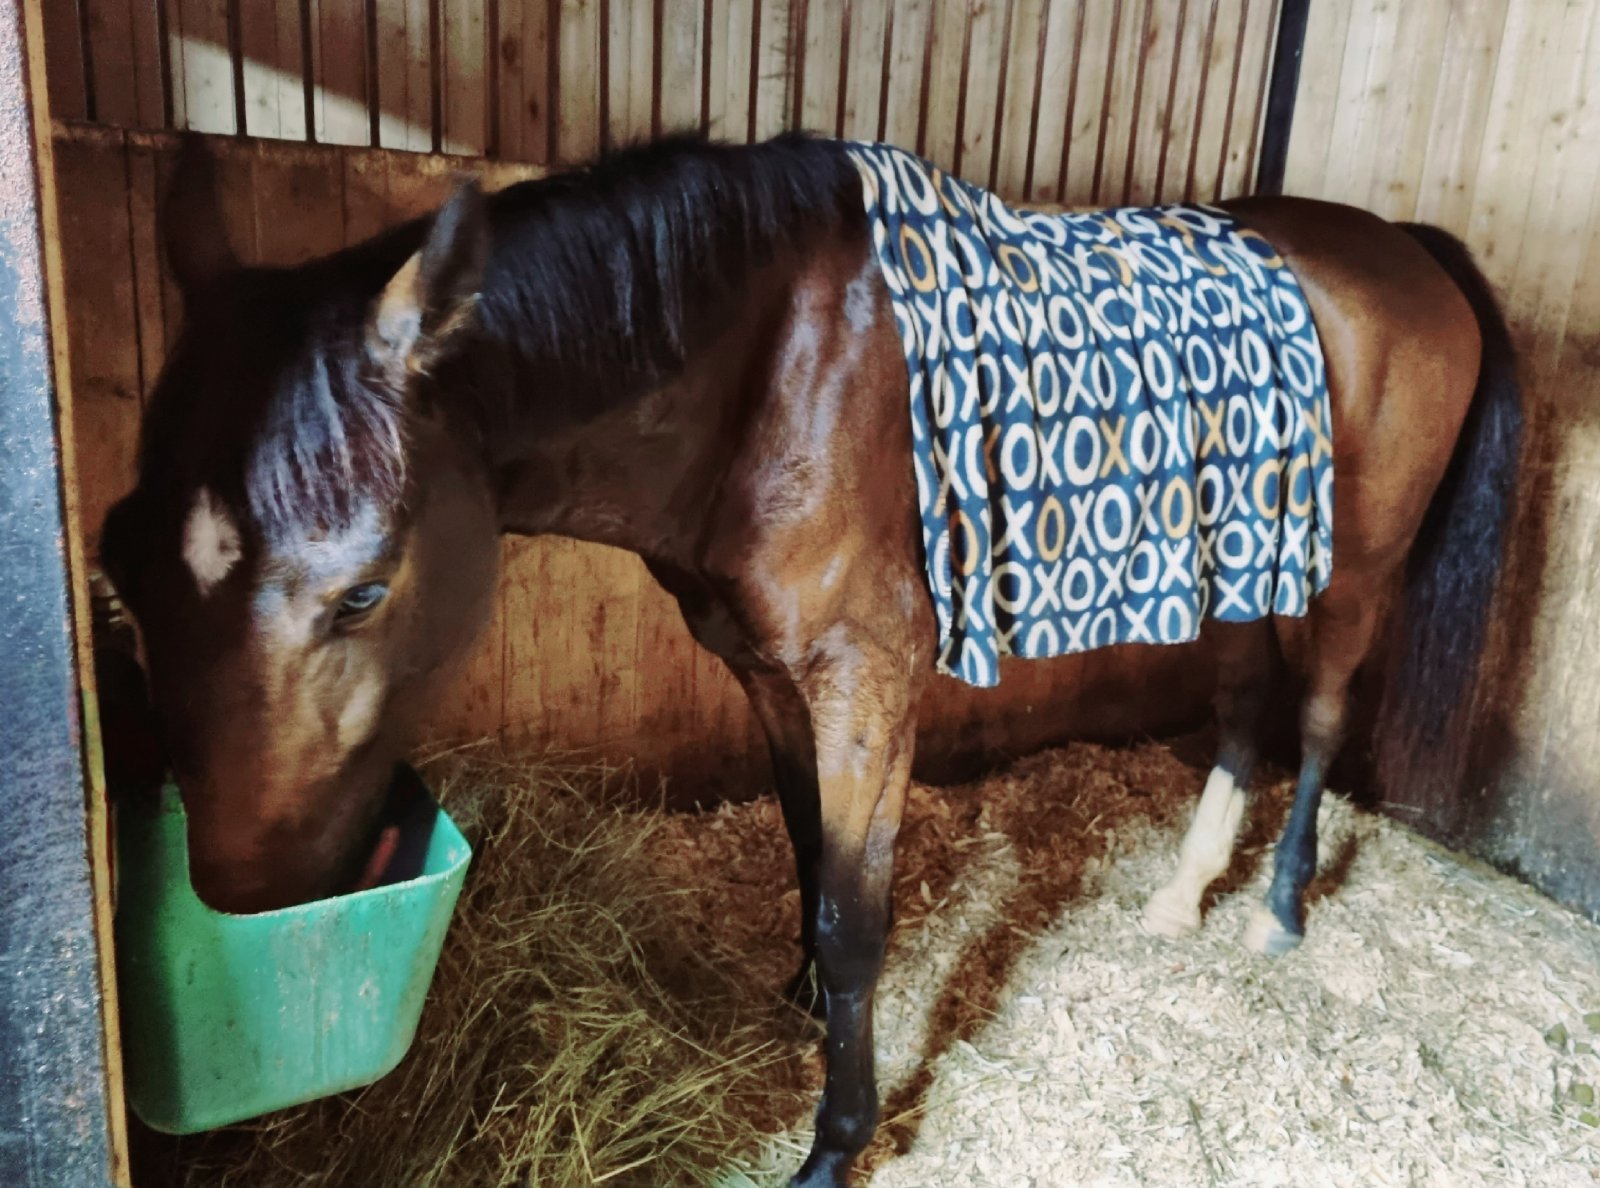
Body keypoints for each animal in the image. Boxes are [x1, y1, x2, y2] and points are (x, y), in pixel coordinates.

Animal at [100, 131, 1520, 1186]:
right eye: (122, 564)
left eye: (364, 591)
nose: (240, 894)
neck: (774, 366)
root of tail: (1405, 246)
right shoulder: (770, 672)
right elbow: (802, 850)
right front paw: (798, 1001)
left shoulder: (865, 690)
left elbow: (855, 913)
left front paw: (838, 1139)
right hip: (1236, 557)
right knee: (1241, 705)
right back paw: (1181, 896)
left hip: (1355, 570)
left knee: (1321, 720)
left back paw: (1277, 910)